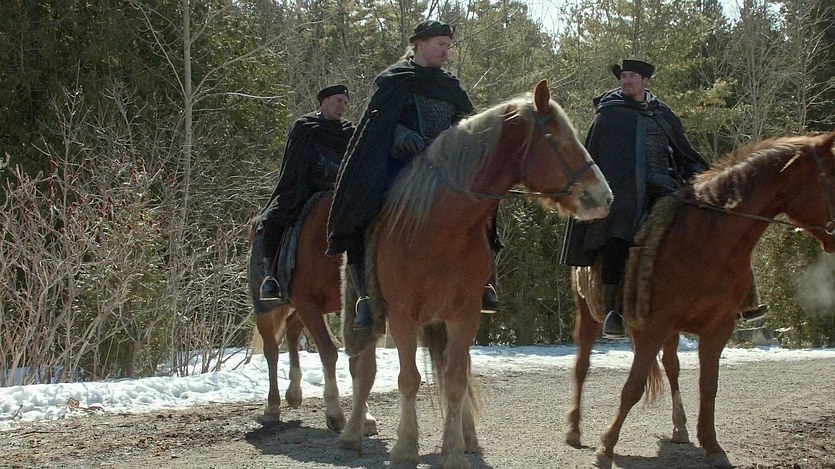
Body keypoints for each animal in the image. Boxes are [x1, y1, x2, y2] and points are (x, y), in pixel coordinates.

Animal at [247, 191, 376, 434]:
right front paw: (335, 413)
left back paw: (294, 393)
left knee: (292, 331)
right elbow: (328, 352)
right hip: (269, 310)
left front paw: (364, 417)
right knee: (272, 350)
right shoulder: (307, 303)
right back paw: (272, 406)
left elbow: (358, 363)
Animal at [335, 80, 613, 468]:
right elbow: (408, 379)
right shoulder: (402, 315)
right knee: (364, 366)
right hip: (368, 312)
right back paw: (351, 434)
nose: (604, 197)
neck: (440, 226)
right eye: (555, 137)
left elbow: (455, 380)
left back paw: (468, 437)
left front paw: (453, 451)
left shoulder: (464, 315)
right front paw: (405, 448)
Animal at [566, 132, 835, 468]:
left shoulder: (715, 329)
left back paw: (679, 428)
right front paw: (606, 447)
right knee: (582, 365)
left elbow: (709, 386)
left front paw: (713, 446)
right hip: (590, 311)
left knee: (671, 366)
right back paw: (574, 430)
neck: (708, 241)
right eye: (834, 176)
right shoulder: (656, 324)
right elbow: (633, 386)